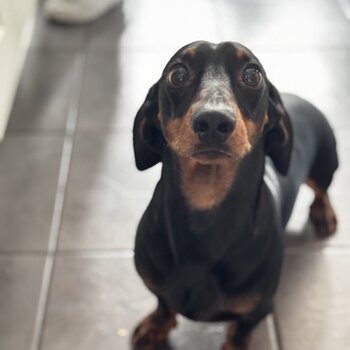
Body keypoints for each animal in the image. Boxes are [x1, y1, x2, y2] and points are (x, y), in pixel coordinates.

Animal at [131, 41, 336, 350]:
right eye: (177, 74)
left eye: (252, 75)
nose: (213, 121)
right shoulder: (157, 286)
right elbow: (164, 304)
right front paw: (155, 327)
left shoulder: (257, 310)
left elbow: (240, 332)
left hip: (325, 166)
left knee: (322, 190)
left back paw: (324, 213)